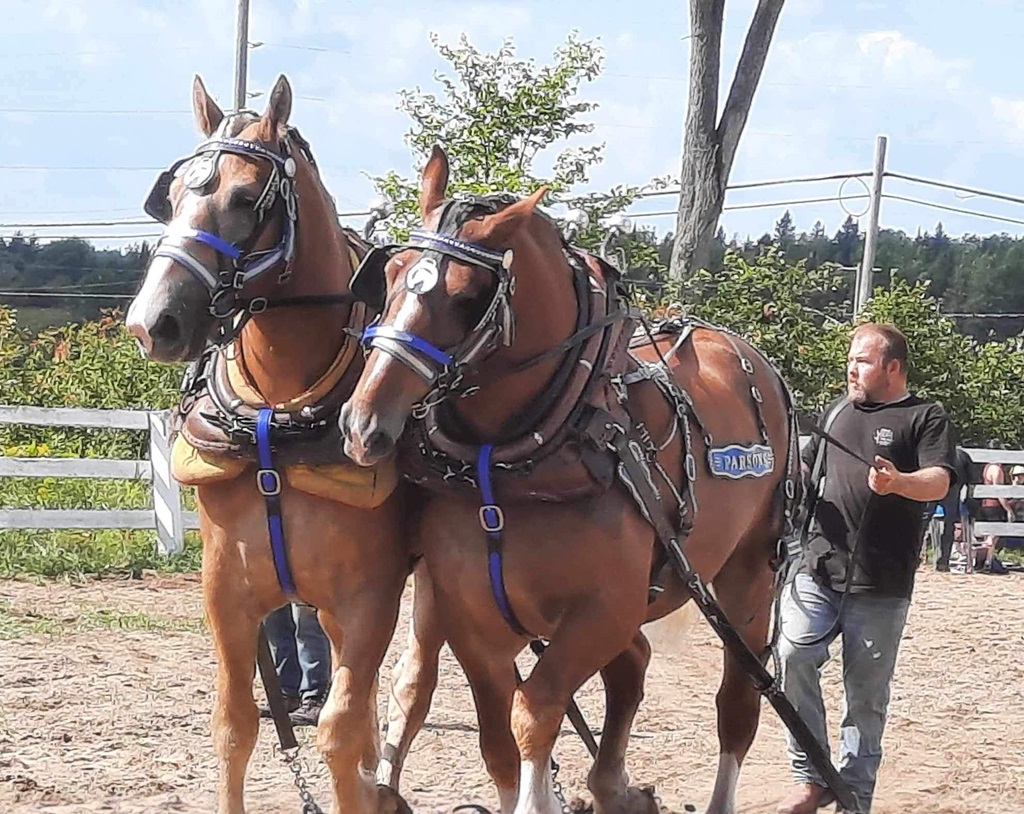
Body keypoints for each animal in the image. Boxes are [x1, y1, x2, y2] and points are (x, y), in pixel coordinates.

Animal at [126, 75, 413, 814]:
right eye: (171, 195)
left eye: (244, 198)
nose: (151, 323)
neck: (275, 423)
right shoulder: (228, 591)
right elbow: (235, 725)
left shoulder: (369, 597)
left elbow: (338, 733)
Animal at [337, 145, 800, 814]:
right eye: (393, 273)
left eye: (467, 296)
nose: (362, 423)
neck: (504, 468)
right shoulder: (471, 618)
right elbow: (497, 741)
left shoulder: (604, 610)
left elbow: (535, 711)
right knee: (632, 666)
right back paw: (613, 787)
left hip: (747, 577)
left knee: (737, 701)